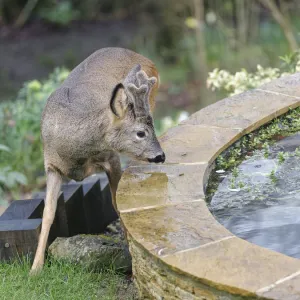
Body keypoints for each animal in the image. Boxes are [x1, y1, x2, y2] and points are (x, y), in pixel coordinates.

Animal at [30, 47, 165, 274]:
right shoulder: (52, 166)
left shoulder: (111, 157)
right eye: (140, 133)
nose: (160, 156)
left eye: (149, 130)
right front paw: (35, 268)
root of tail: (143, 57)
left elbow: (117, 203)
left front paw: (130, 255)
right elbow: (48, 212)